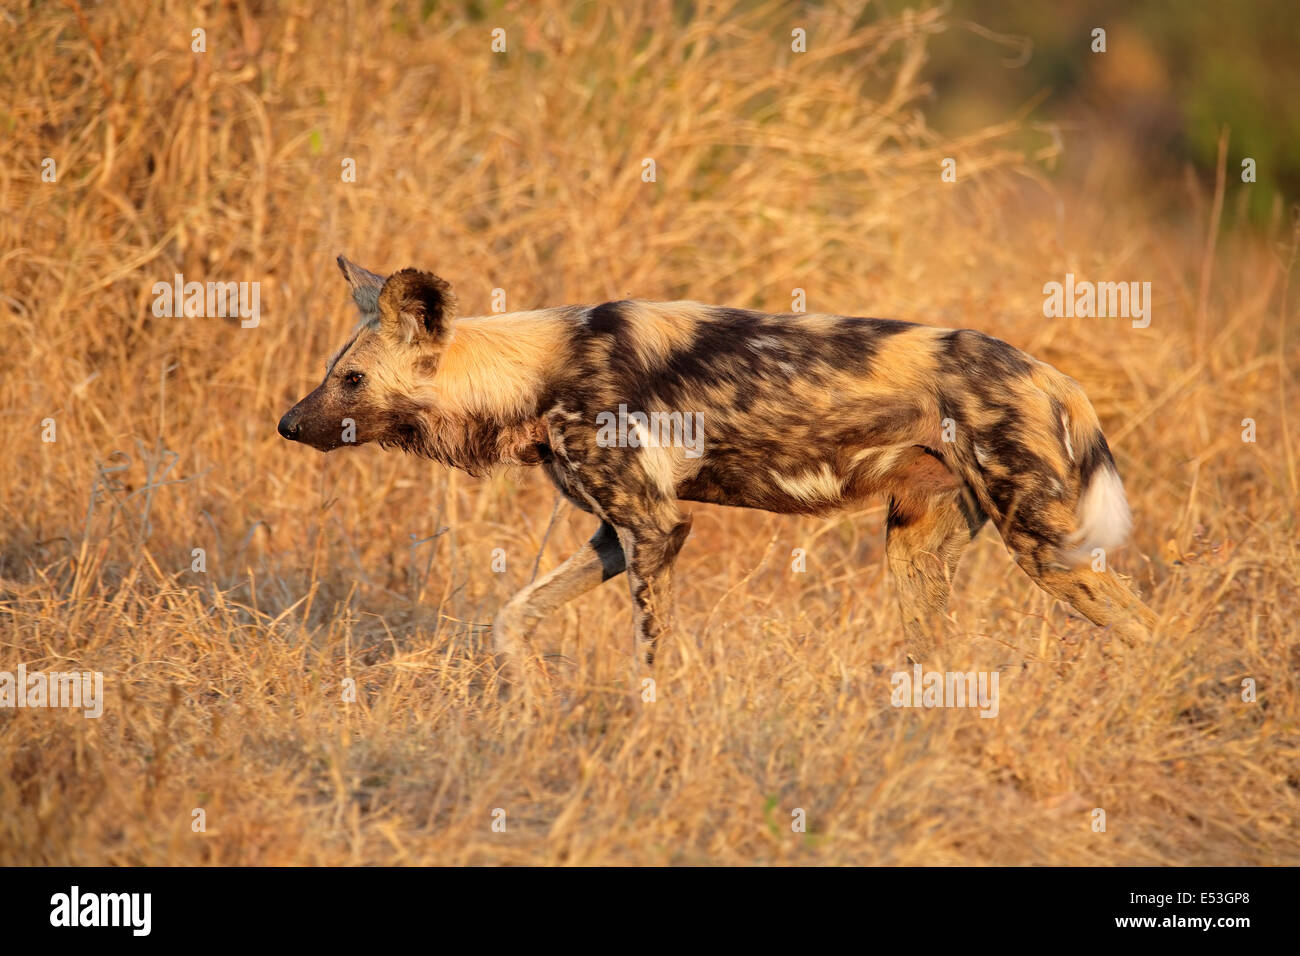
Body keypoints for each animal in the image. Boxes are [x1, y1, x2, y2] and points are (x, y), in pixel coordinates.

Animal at [279, 260, 1154, 681]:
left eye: (350, 380)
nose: (287, 423)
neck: (537, 369)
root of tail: (1051, 374)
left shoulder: (657, 527)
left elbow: (651, 650)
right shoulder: (616, 534)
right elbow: (512, 618)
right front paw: (529, 701)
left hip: (1046, 550)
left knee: (1153, 630)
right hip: (916, 550)